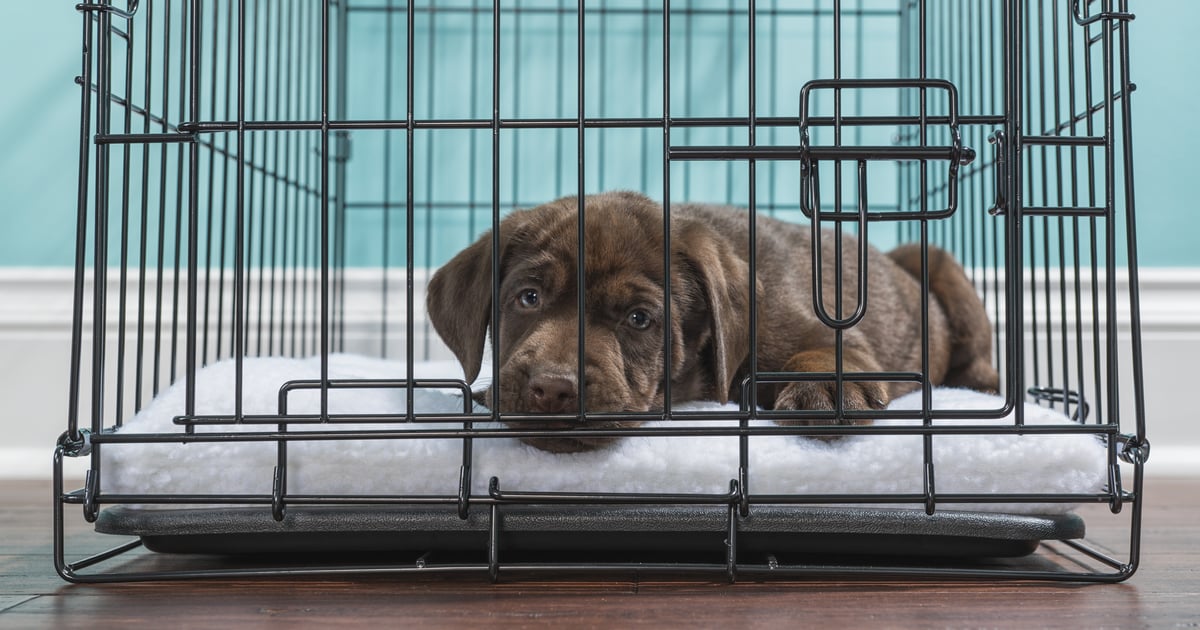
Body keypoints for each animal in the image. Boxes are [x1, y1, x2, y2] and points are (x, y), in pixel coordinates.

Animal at [427, 189, 998, 448]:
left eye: (639, 319)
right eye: (528, 298)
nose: (551, 388)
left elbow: (828, 350)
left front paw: (822, 388)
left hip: (936, 260)